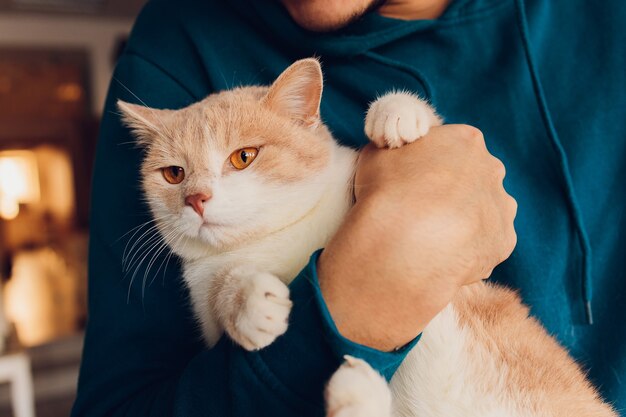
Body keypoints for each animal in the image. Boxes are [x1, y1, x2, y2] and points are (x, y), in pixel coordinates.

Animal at [118, 58, 616, 416]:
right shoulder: (206, 301)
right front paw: (249, 303)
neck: (284, 231)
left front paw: (397, 112)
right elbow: (224, 289)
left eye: (243, 157)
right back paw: (355, 391)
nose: (197, 198)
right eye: (174, 174)